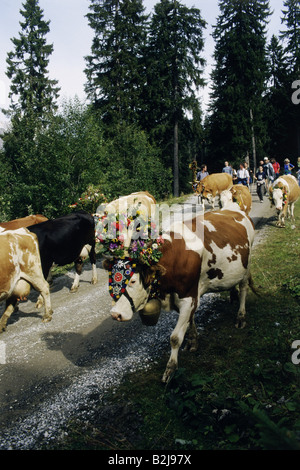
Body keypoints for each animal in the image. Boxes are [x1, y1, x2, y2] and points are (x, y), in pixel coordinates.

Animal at [104, 209, 254, 382]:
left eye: (133, 281)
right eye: (111, 279)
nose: (115, 314)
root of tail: (234, 210)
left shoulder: (188, 298)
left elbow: (175, 338)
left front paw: (170, 369)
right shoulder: (185, 298)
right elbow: (190, 321)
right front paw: (193, 341)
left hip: (247, 265)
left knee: (244, 288)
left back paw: (241, 316)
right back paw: (233, 295)